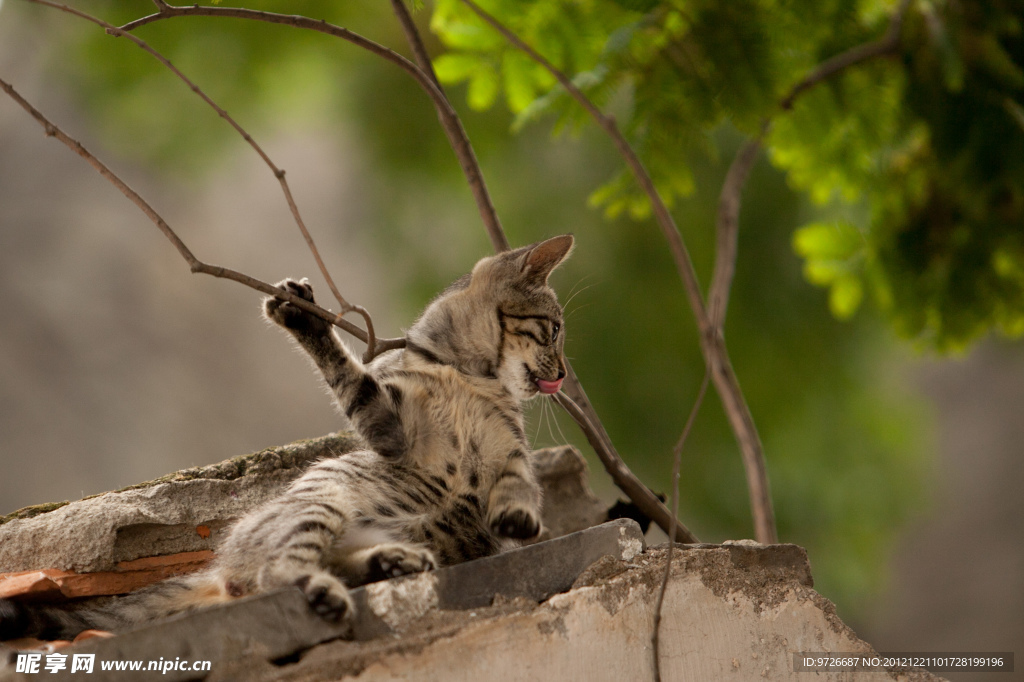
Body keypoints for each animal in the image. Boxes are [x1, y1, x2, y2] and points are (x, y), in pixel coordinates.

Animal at [0, 233, 577, 638]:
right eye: (554, 329)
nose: (565, 373)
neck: (471, 375)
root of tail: (221, 563)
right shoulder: (387, 425)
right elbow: (349, 374)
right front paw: (304, 319)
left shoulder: (512, 448)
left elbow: (520, 479)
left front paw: (517, 517)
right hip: (323, 503)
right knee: (279, 572)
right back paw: (329, 591)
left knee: (312, 566)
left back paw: (392, 561)